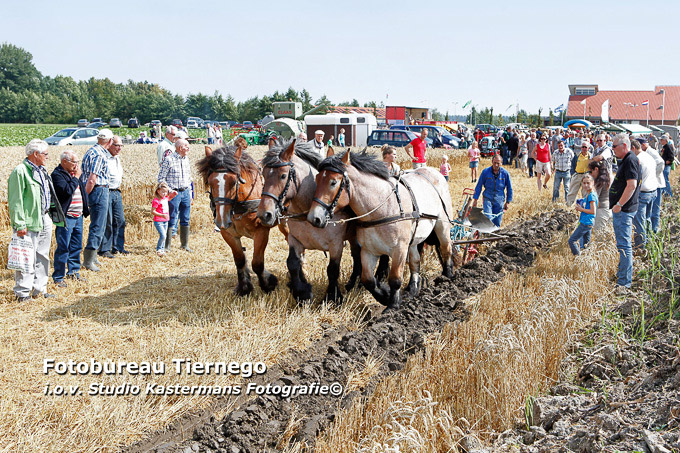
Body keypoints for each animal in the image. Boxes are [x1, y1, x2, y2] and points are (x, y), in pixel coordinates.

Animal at [194, 136, 286, 294]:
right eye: (210, 182)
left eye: (233, 182)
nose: (222, 220)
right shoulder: (228, 233)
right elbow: (239, 259)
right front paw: (244, 288)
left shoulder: (261, 232)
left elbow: (257, 263)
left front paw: (268, 284)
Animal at [306, 150, 454, 308]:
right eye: (317, 178)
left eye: (333, 182)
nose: (314, 218)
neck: (381, 208)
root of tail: (433, 171)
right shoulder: (368, 250)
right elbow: (368, 280)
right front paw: (384, 295)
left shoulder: (399, 249)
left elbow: (395, 279)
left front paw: (393, 305)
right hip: (414, 239)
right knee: (415, 261)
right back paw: (412, 289)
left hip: (442, 226)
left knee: (446, 249)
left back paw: (448, 278)